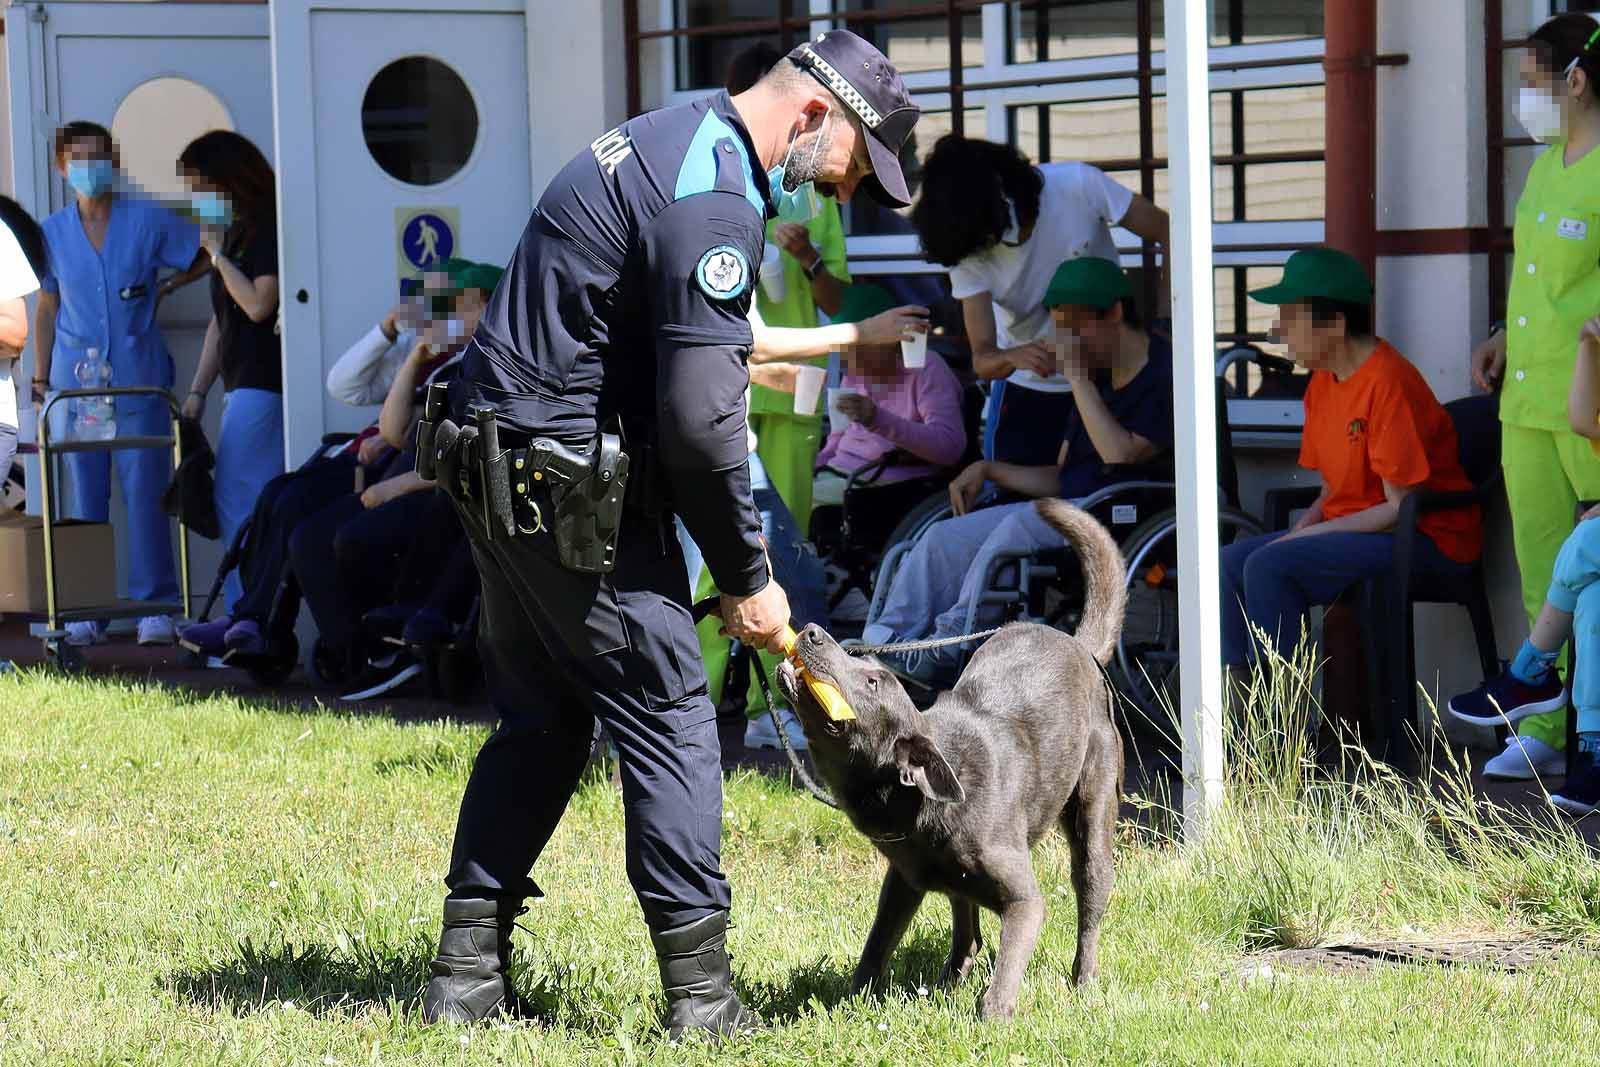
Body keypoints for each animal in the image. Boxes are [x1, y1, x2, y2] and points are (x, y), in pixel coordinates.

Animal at [774, 495, 1126, 1023]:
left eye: (873, 680)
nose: (812, 631)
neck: (913, 799)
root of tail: (1078, 645)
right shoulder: (903, 882)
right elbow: (876, 944)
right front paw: (853, 1000)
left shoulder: (1024, 899)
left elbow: (1007, 968)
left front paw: (994, 1020)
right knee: (968, 931)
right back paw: (947, 982)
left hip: (1094, 816)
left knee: (1088, 901)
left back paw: (1082, 984)